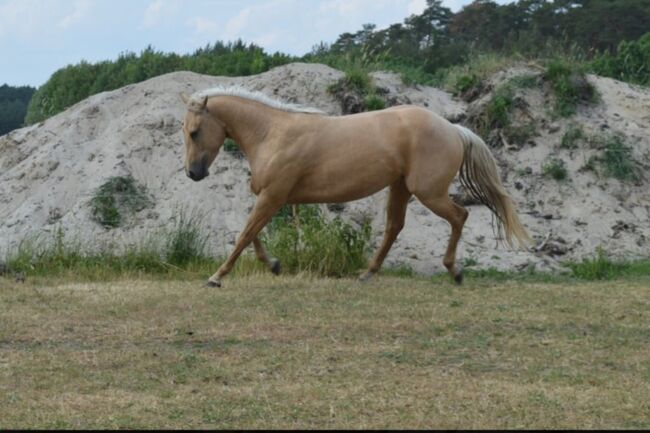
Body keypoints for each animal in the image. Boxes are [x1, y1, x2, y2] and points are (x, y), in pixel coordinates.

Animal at [180, 87, 528, 286]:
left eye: (195, 132)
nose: (193, 173)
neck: (272, 133)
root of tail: (453, 128)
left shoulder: (273, 196)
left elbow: (244, 235)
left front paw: (216, 277)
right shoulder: (269, 196)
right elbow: (252, 234)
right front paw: (275, 266)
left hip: (428, 192)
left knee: (458, 217)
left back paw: (454, 271)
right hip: (401, 187)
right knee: (394, 227)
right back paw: (367, 273)